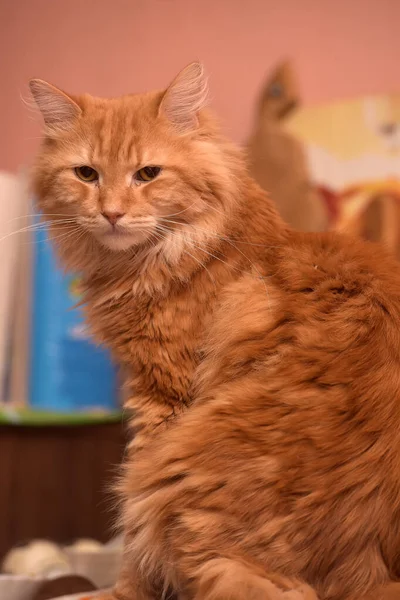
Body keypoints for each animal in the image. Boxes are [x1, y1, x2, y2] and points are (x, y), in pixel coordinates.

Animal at [31, 63, 400, 596]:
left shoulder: (161, 398)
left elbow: (134, 549)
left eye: (148, 174)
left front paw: (124, 592)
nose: (112, 213)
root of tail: (364, 570)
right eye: (86, 174)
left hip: (171, 483)